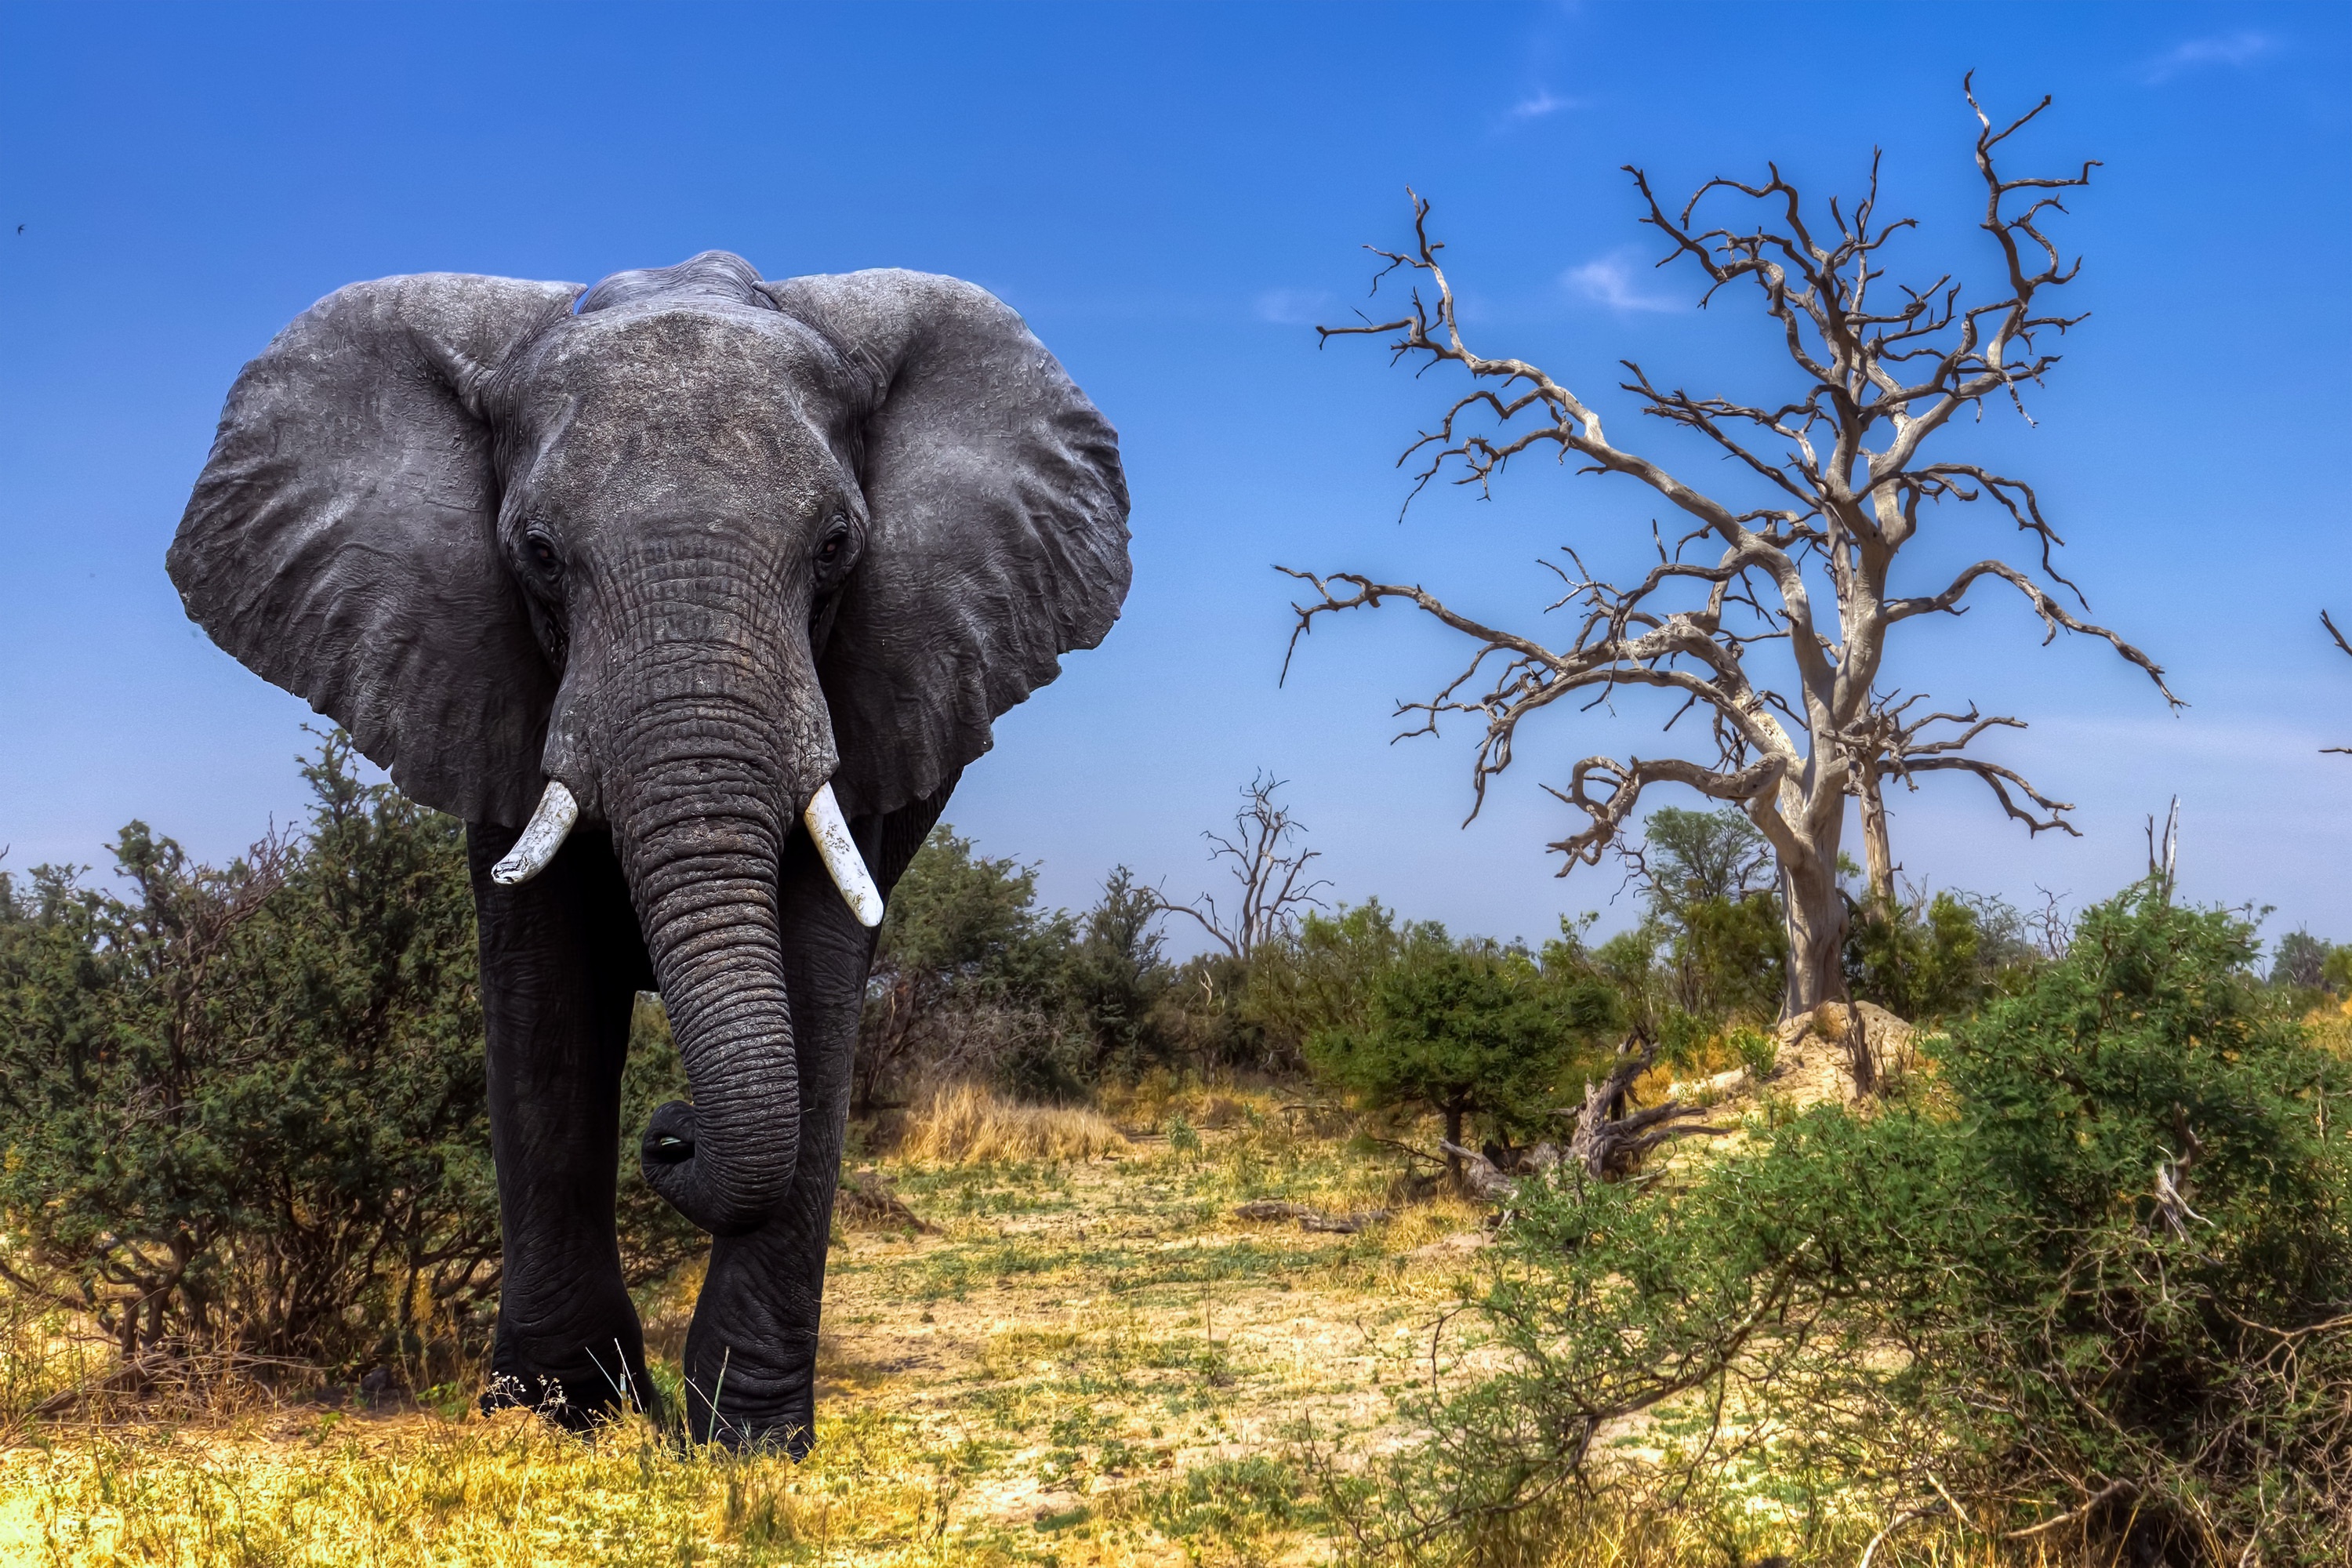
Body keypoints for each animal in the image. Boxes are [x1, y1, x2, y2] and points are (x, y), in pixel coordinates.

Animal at [163, 251, 1129, 1457]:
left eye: (836, 548)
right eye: (536, 553)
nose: (669, 1136)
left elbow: (817, 980)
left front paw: (747, 1443)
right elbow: (543, 996)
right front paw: (557, 1416)